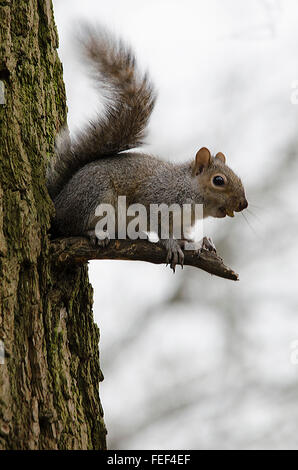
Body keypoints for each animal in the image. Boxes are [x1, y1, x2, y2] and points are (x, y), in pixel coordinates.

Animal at [46, 26, 247, 272]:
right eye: (218, 180)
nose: (244, 204)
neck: (188, 192)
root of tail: (58, 201)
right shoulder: (154, 199)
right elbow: (158, 226)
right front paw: (171, 244)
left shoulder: (181, 222)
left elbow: (183, 234)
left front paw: (199, 242)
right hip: (94, 197)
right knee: (70, 226)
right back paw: (93, 233)